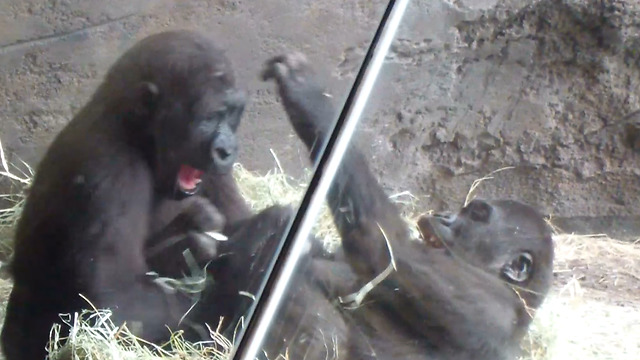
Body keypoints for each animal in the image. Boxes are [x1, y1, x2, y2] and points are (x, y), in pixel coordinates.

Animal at [255, 53, 556, 360]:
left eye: (477, 215)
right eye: (467, 210)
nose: (444, 216)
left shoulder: (489, 304)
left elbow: (384, 249)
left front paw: (310, 96)